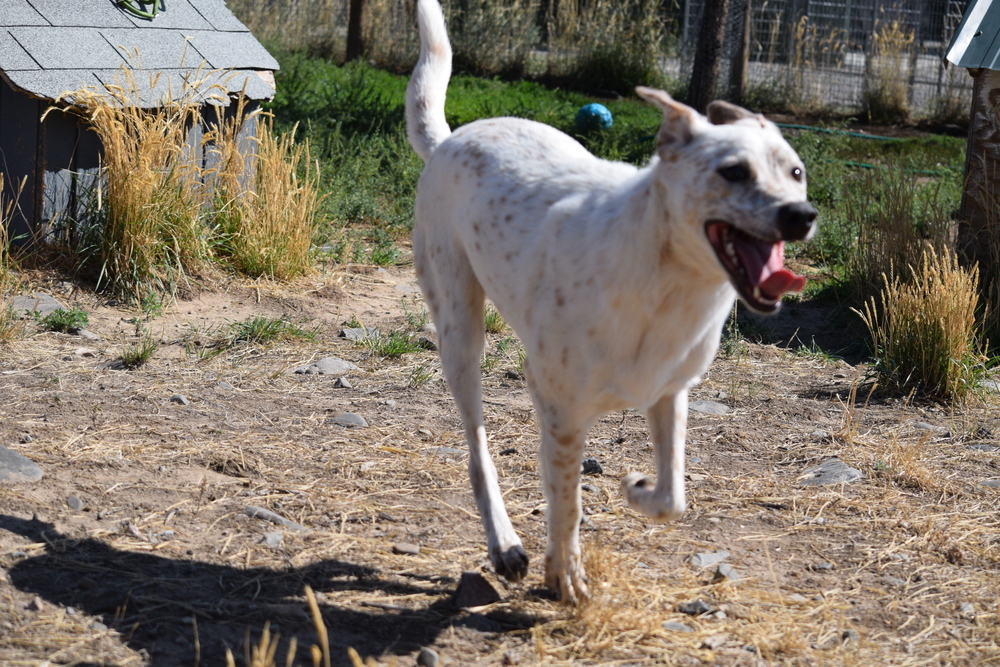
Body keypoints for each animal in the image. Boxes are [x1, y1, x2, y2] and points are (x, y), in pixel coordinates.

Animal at [406, 0, 812, 604]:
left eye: (796, 172)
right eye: (733, 171)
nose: (801, 215)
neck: (665, 284)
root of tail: (451, 139)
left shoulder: (669, 393)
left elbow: (672, 496)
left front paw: (636, 489)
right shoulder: (559, 409)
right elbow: (566, 504)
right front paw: (565, 576)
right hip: (460, 332)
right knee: (479, 452)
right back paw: (504, 544)